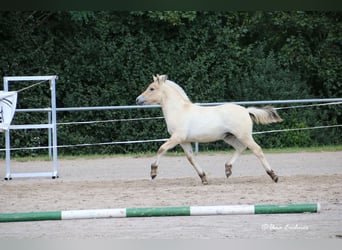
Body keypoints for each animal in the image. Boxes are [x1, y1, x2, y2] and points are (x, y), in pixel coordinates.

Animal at [136, 73, 284, 184]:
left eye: (152, 88)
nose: (138, 100)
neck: (179, 110)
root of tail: (246, 111)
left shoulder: (177, 137)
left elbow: (161, 149)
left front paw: (153, 172)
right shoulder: (184, 141)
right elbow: (191, 158)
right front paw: (203, 178)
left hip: (244, 136)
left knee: (257, 150)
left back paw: (273, 176)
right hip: (229, 137)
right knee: (240, 148)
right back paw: (228, 170)